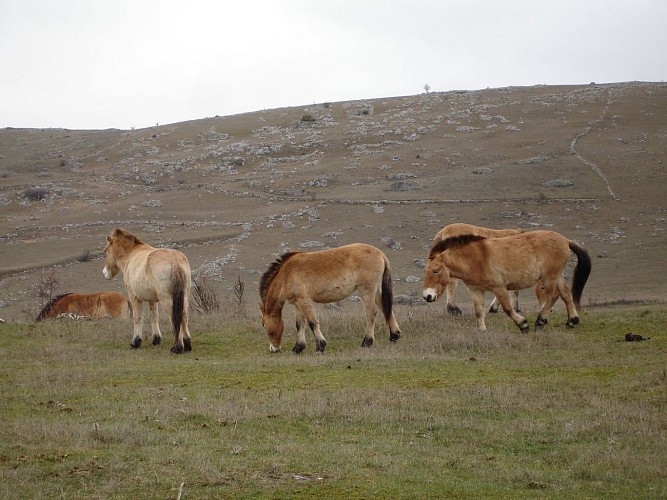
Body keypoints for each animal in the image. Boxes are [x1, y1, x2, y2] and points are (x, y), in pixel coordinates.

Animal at [258, 243, 402, 353]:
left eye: (264, 325)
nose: (273, 349)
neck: (286, 274)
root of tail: (380, 254)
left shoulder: (304, 301)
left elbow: (312, 322)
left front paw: (320, 346)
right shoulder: (298, 303)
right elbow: (300, 324)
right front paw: (298, 348)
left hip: (367, 291)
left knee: (371, 313)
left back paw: (367, 342)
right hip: (375, 292)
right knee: (386, 309)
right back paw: (394, 335)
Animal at [423, 230, 591, 333]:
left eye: (436, 270)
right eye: (425, 271)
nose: (427, 296)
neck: (477, 258)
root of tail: (565, 240)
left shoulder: (499, 288)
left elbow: (508, 308)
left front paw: (523, 325)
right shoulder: (476, 290)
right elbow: (479, 311)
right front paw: (481, 331)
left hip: (549, 277)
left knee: (553, 296)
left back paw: (540, 321)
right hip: (558, 276)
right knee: (566, 294)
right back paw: (572, 321)